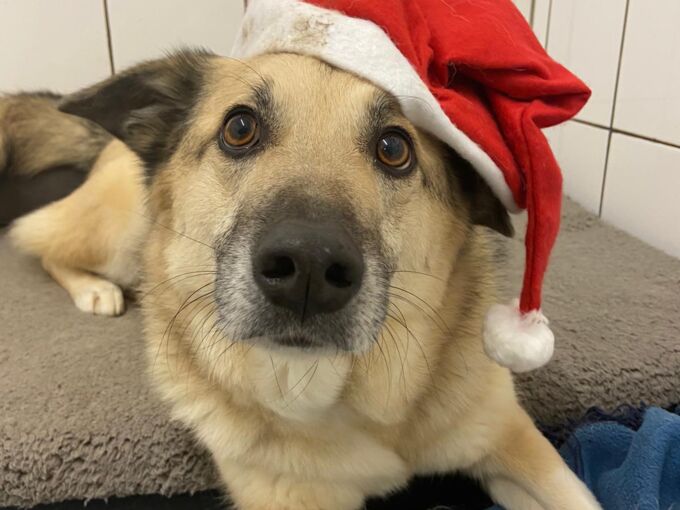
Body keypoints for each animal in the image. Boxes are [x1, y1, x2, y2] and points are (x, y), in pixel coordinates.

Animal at [3, 48, 600, 510]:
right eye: (239, 128)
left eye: (394, 148)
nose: (308, 269)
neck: (356, 402)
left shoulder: (512, 438)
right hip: (119, 233)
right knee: (38, 240)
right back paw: (95, 290)